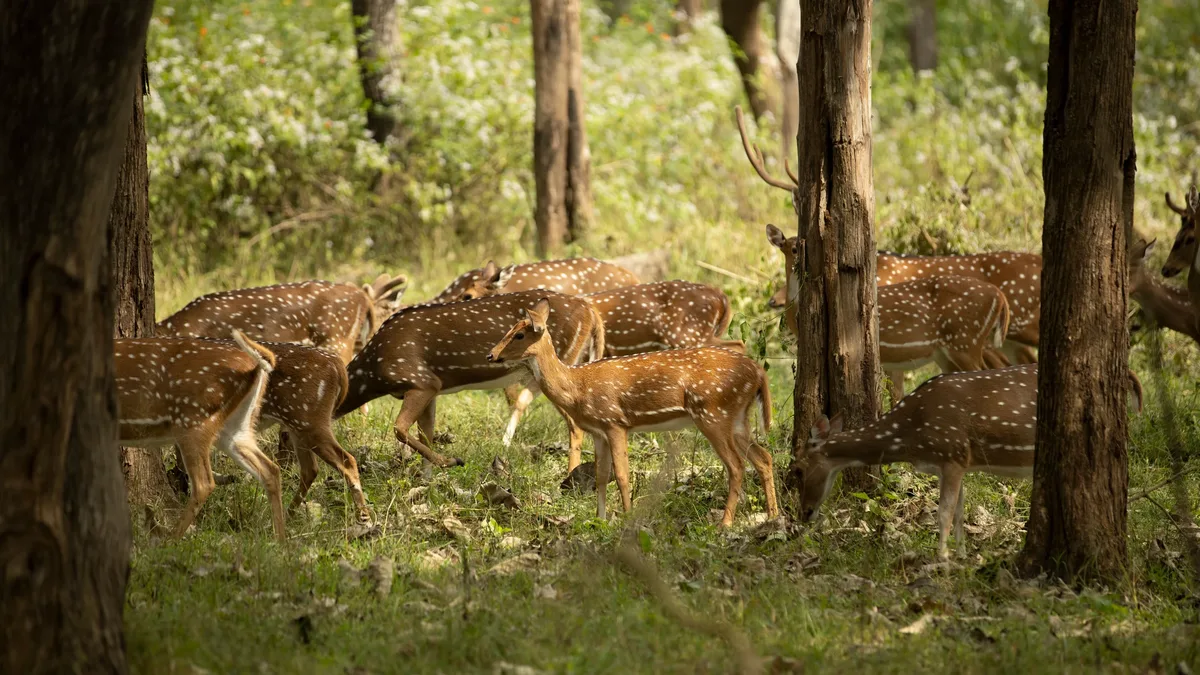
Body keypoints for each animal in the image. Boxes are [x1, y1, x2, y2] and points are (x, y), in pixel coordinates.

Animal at [115, 331, 286, 541]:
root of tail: (256, 366)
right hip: (237, 426)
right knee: (270, 470)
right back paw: (281, 541)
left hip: (194, 420)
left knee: (204, 483)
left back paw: (171, 539)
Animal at [334, 290, 605, 472]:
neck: (374, 373)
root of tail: (591, 311)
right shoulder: (432, 389)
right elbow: (426, 434)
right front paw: (426, 481)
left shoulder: (421, 380)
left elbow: (400, 428)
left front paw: (451, 461)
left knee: (575, 424)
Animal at [486, 298, 778, 527]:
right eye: (510, 329)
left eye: (519, 335)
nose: (490, 355)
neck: (577, 387)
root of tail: (758, 372)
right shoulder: (599, 431)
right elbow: (602, 477)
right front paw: (600, 520)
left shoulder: (615, 421)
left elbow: (622, 475)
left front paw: (626, 518)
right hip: (737, 417)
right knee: (763, 457)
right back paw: (773, 516)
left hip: (713, 413)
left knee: (736, 465)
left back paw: (725, 524)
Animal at [766, 225, 1013, 397]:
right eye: (791, 248)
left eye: (802, 246)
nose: (772, 301)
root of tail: (999, 296)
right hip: (950, 351)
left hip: (965, 341)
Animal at [791, 364, 1144, 560]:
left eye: (798, 469)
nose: (804, 513)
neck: (910, 436)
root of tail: (1128, 376)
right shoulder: (957, 461)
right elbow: (959, 511)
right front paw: (961, 555)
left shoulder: (953, 453)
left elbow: (944, 512)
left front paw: (941, 558)